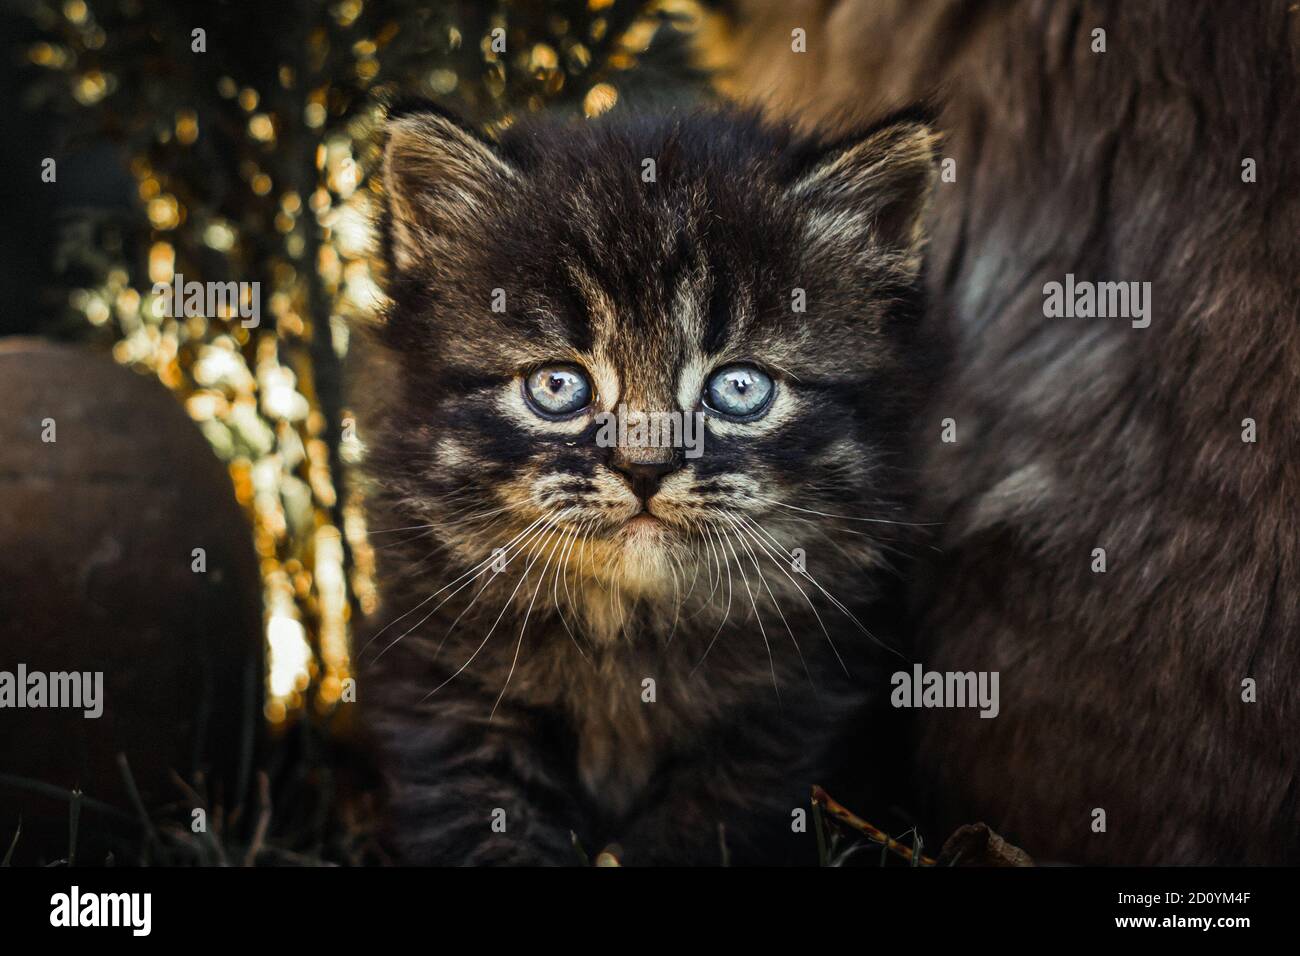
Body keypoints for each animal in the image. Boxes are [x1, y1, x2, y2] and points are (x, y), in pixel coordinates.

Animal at [361, 104, 941, 868]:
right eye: (557, 386)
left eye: (740, 388)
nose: (645, 467)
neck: (628, 634)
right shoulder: (443, 688)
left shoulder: (794, 710)